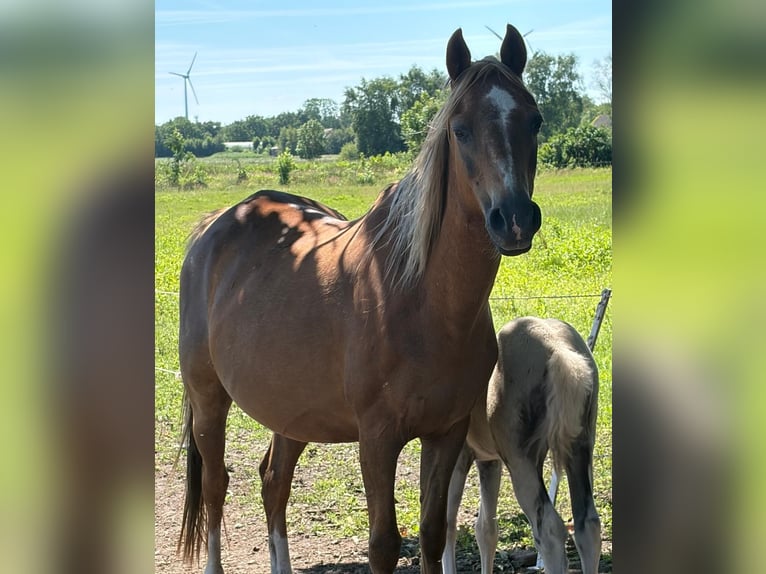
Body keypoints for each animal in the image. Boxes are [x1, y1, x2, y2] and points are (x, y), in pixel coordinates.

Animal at [177, 24, 542, 574]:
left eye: (535, 120)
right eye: (460, 129)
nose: (515, 218)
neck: (423, 302)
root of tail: (213, 227)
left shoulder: (446, 433)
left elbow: (433, 533)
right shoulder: (377, 438)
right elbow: (384, 542)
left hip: (291, 410)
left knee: (273, 483)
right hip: (208, 399)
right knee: (217, 485)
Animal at [441, 317, 601, 574]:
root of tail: (559, 351)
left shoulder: (457, 455)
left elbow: (446, 524)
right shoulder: (489, 459)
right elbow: (486, 529)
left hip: (521, 460)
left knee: (549, 530)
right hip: (580, 448)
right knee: (588, 525)